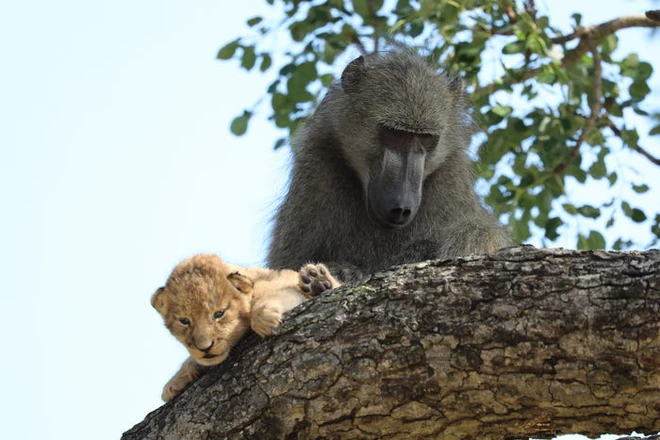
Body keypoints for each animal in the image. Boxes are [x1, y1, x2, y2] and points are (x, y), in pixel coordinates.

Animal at [151, 253, 340, 401]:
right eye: (184, 321)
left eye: (219, 314)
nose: (205, 348)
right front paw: (176, 380)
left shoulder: (280, 282)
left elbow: (281, 294)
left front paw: (264, 319)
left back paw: (316, 280)